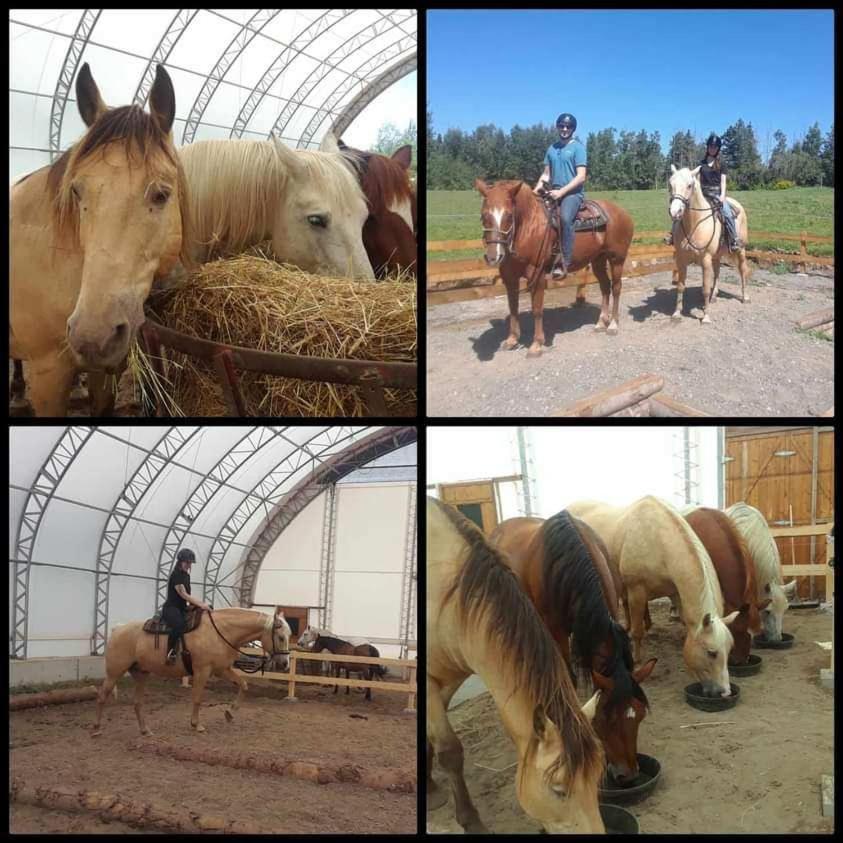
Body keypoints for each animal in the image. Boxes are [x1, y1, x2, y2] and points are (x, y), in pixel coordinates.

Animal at [93, 606, 291, 736]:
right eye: (281, 637)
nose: (285, 664)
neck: (220, 632)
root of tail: (117, 629)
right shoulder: (202, 671)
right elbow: (197, 698)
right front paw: (196, 725)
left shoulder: (222, 669)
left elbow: (244, 685)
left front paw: (230, 712)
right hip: (114, 673)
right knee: (102, 697)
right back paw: (96, 729)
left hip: (141, 674)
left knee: (137, 703)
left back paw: (145, 730)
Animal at [427, 497, 605, 833]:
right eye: (559, 789)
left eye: (597, 778)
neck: (449, 600)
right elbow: (450, 751)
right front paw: (470, 820)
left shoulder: (450, 678)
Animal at [474, 179, 635, 355]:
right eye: (483, 215)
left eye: (509, 215)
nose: (493, 257)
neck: (528, 229)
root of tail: (622, 212)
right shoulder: (509, 278)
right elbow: (513, 308)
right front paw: (512, 339)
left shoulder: (537, 275)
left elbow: (537, 309)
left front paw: (536, 344)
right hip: (598, 260)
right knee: (605, 286)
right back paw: (600, 322)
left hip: (616, 259)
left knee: (616, 288)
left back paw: (613, 325)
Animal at [567, 497, 739, 697]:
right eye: (711, 653)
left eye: (730, 649)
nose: (724, 692)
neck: (658, 540)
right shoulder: (637, 591)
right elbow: (638, 632)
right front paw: (637, 663)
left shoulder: (675, 593)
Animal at [667, 164, 751, 323]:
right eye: (670, 184)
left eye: (689, 185)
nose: (675, 212)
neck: (694, 224)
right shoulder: (681, 259)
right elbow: (681, 286)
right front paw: (676, 313)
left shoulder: (705, 259)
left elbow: (705, 288)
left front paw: (705, 316)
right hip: (717, 255)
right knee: (717, 273)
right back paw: (714, 297)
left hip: (741, 249)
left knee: (743, 270)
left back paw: (745, 297)